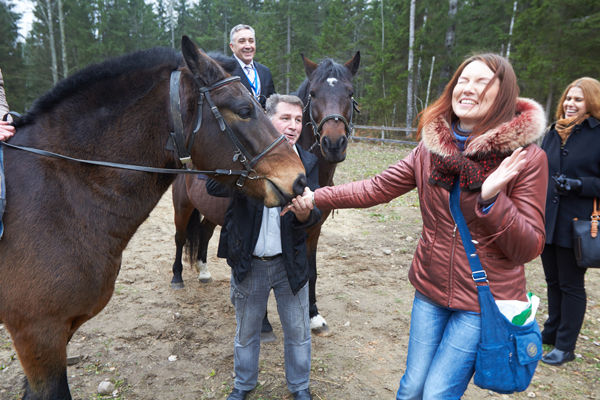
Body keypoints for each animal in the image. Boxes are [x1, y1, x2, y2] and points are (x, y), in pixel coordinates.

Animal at [168, 52, 360, 334]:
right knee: (180, 238)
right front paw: (264, 323)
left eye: (350, 92)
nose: (333, 144)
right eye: (313, 93)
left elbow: (311, 271)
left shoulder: (312, 230)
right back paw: (177, 277)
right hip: (182, 206)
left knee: (203, 232)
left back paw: (203, 271)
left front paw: (314, 315)